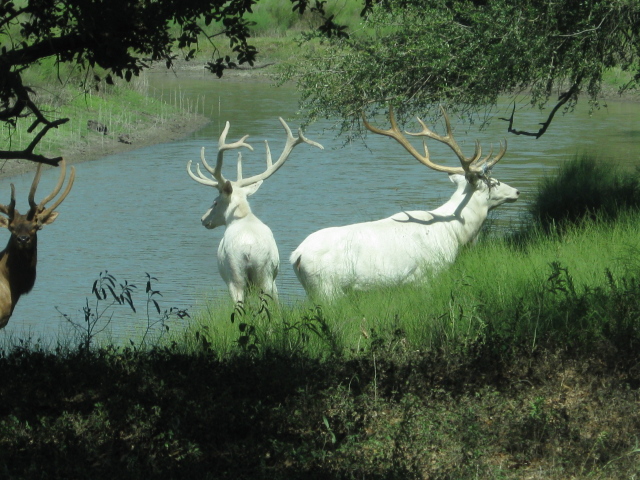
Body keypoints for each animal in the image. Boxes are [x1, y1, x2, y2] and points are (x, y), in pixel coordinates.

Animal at [188, 117, 322, 302]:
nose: (203, 219)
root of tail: (248, 250)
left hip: (235, 275)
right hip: (265, 274)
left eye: (215, 202)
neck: (243, 217)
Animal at [292, 107, 520, 298]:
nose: (517, 191)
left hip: (313, 290)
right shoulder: (429, 274)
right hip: (327, 288)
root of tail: (296, 256)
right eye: (492, 182)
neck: (456, 232)